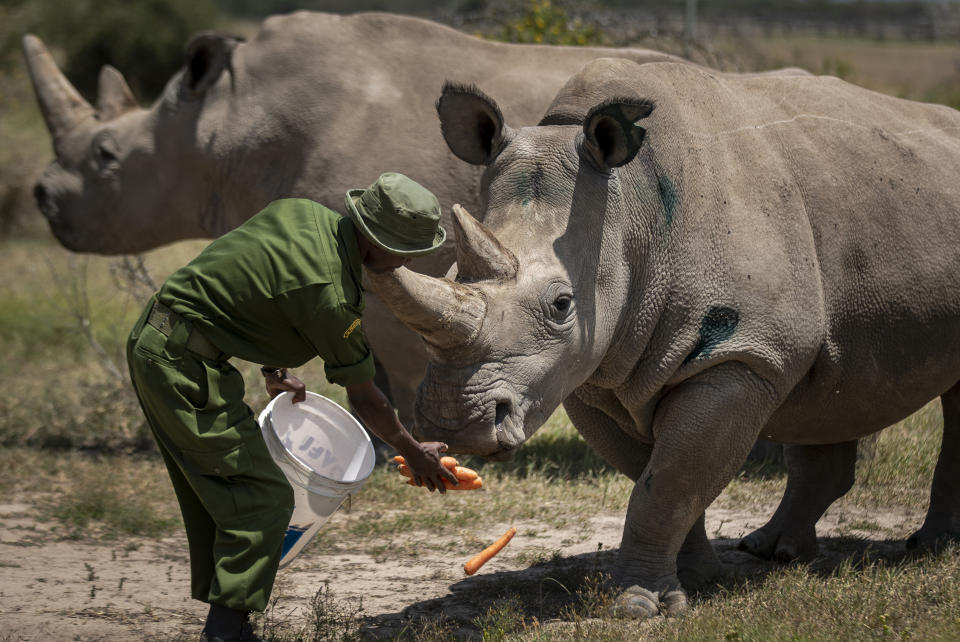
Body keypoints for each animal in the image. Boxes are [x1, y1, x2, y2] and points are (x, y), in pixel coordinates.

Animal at [366, 58, 960, 616]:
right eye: (451, 276)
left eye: (562, 305)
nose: (454, 423)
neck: (630, 212)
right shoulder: (593, 373)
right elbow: (656, 479)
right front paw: (693, 582)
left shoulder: (740, 355)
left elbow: (670, 482)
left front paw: (635, 606)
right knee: (830, 385)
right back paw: (773, 552)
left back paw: (930, 550)